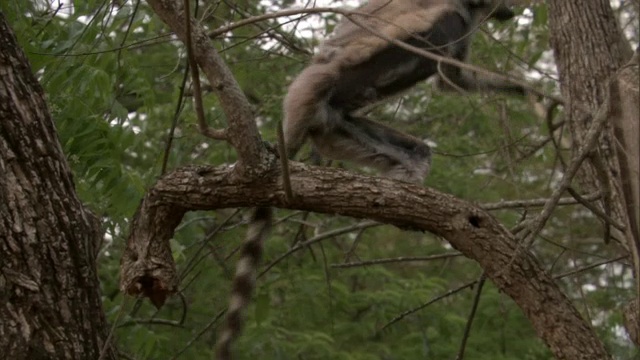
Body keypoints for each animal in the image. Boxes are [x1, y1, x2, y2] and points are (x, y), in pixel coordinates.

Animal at [284, 0, 524, 184]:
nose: (512, 8)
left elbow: (452, 79)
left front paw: (525, 89)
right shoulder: (456, 14)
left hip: (333, 126)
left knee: (417, 154)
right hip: (314, 87)